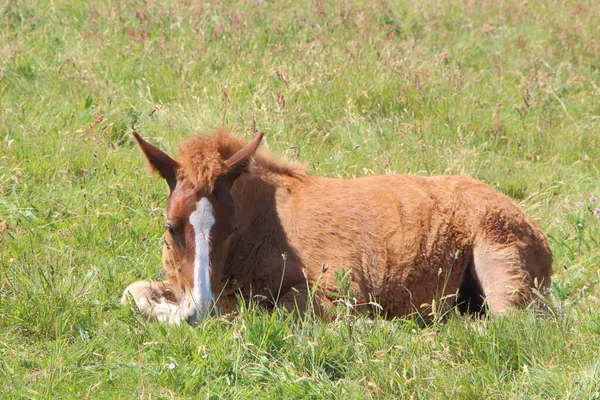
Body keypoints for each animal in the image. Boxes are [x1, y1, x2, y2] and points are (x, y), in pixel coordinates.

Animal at [122, 130, 552, 324]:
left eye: (231, 229)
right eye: (171, 227)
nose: (199, 308)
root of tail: (535, 230)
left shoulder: (340, 290)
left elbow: (264, 312)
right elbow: (135, 291)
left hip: (503, 274)